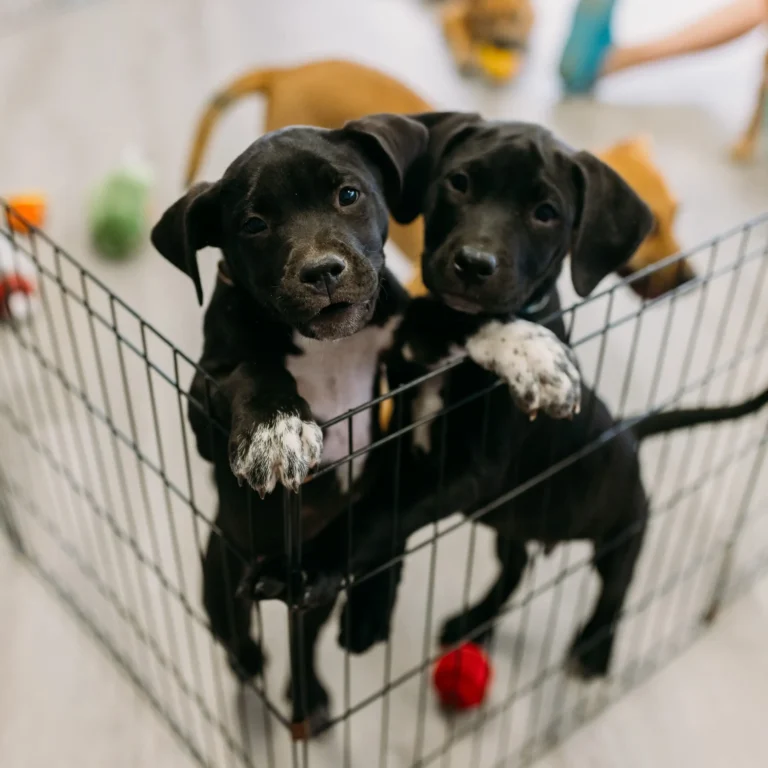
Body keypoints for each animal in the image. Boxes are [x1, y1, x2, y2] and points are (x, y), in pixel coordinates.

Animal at [249, 115, 764, 684]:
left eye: (546, 213)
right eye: (459, 183)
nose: (474, 264)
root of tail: (628, 430)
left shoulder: (472, 472)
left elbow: (382, 515)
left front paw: (313, 568)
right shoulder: (401, 433)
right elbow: (385, 514)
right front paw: (368, 612)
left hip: (625, 525)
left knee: (617, 584)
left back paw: (595, 647)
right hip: (514, 528)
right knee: (515, 573)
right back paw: (476, 620)